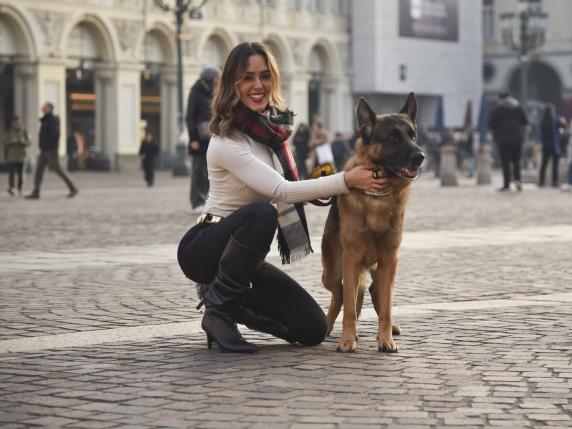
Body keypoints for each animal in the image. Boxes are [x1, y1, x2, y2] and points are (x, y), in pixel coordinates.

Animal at [322, 93, 424, 352]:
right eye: (393, 137)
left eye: (412, 135)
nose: (420, 157)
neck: (379, 197)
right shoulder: (350, 259)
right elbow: (349, 306)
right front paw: (348, 339)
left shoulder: (390, 259)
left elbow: (386, 306)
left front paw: (385, 339)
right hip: (331, 272)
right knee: (339, 294)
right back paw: (328, 326)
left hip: (382, 269)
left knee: (375, 291)